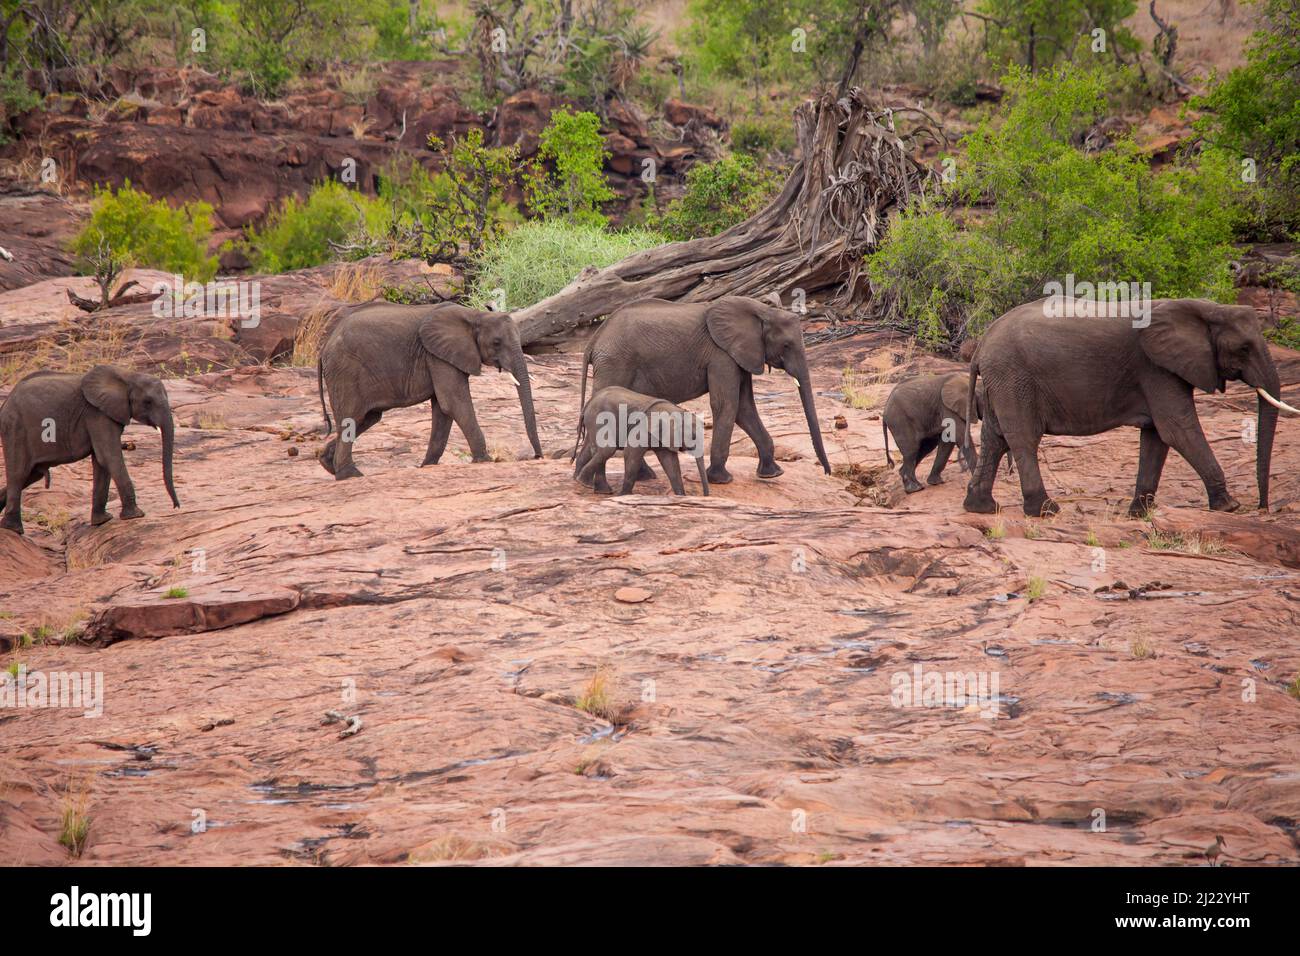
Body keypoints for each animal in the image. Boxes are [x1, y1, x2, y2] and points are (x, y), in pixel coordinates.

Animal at [0, 364, 180, 535]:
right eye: (148, 402)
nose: (176, 507)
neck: (127, 375)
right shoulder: (97, 413)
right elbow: (109, 457)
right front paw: (136, 515)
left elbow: (101, 462)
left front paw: (102, 521)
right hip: (15, 427)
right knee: (19, 473)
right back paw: (14, 529)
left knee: (31, 474)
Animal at [319, 303, 543, 478]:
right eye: (497, 343)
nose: (537, 457)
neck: (475, 315)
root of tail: (324, 346)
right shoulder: (437, 355)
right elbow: (453, 402)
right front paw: (484, 460)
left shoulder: (439, 355)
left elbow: (443, 410)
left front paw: (427, 466)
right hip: (346, 372)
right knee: (351, 416)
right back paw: (349, 474)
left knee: (366, 418)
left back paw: (328, 464)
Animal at [574, 385, 712, 496]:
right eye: (693, 436)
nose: (705, 496)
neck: (677, 411)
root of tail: (589, 401)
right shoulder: (642, 429)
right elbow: (631, 453)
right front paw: (624, 495)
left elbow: (670, 462)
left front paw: (681, 496)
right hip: (597, 417)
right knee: (607, 449)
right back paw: (585, 483)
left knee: (593, 448)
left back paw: (585, 483)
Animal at [579, 293, 832, 486]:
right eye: (787, 345)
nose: (827, 472)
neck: (761, 310)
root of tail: (593, 342)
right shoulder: (721, 355)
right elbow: (727, 405)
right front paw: (721, 480)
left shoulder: (740, 355)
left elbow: (744, 408)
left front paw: (772, 474)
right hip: (615, 363)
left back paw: (641, 477)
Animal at [961, 300, 1294, 520]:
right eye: (1244, 349)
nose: (1262, 508)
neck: (1207, 308)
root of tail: (981, 345)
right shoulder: (1156, 369)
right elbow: (1178, 430)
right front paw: (1229, 506)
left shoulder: (1159, 372)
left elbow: (1157, 436)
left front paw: (1140, 513)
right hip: (1014, 378)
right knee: (1023, 439)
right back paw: (1045, 511)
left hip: (1001, 380)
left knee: (995, 439)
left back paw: (982, 507)